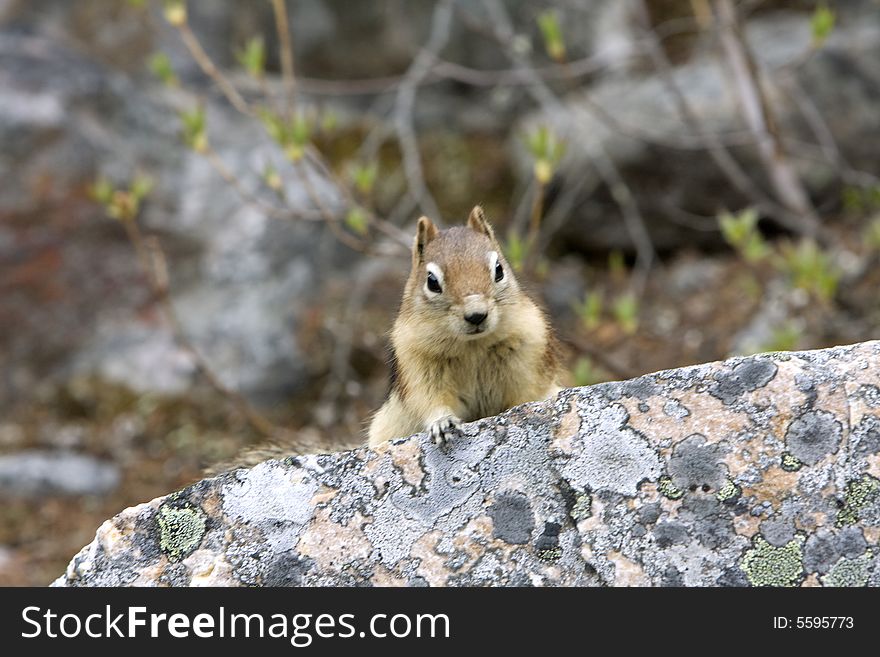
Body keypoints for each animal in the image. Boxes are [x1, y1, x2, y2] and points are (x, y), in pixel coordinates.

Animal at [366, 208, 560, 448]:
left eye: (499, 269)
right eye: (432, 281)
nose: (476, 315)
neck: (472, 346)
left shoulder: (528, 354)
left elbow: (527, 394)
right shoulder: (417, 362)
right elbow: (429, 399)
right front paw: (443, 423)